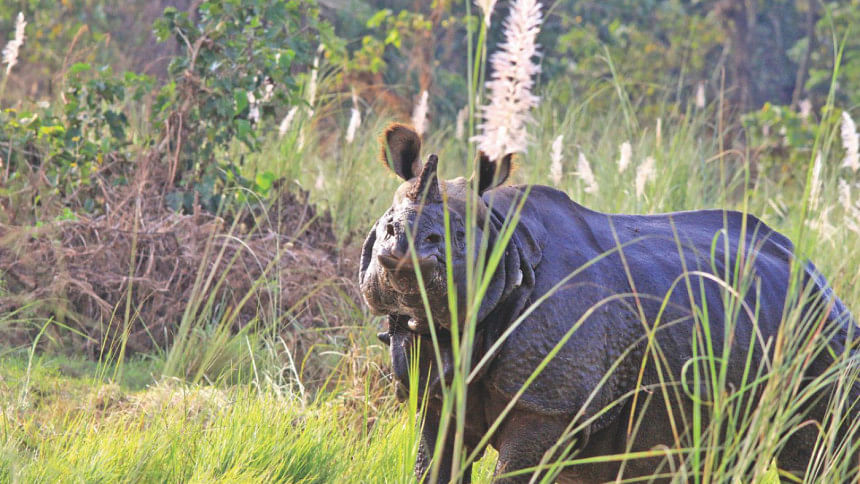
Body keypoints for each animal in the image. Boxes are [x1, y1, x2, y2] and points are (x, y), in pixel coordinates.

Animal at [359, 124, 859, 483]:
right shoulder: (437, 390)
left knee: (813, 454)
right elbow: (433, 463)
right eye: (387, 221)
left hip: (826, 339)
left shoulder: (548, 407)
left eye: (456, 237)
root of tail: (823, 281)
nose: (399, 247)